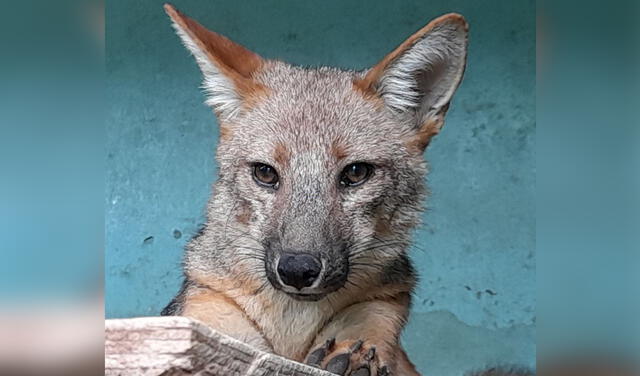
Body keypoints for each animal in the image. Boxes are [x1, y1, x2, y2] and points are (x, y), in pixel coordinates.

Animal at [159, 2, 524, 376]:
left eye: (356, 173)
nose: (298, 269)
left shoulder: (382, 303)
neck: (293, 336)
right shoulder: (206, 316)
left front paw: (355, 355)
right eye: (265, 173)